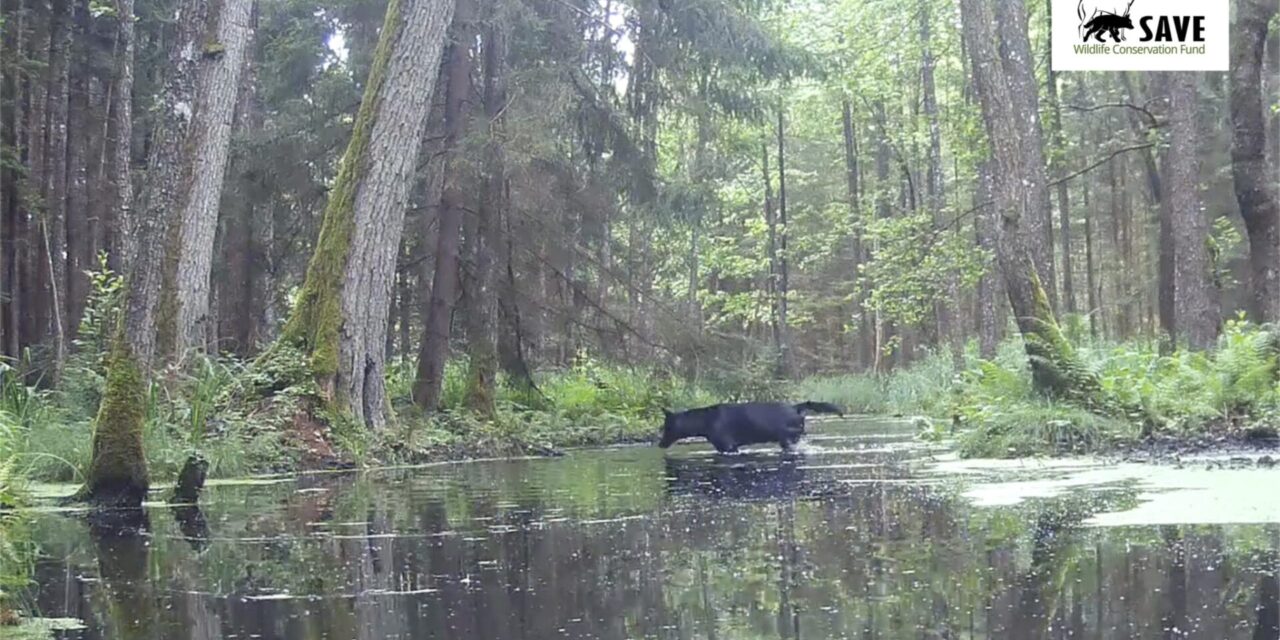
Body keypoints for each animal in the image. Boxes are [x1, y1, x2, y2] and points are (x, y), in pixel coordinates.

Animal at [655, 399, 844, 455]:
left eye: (666, 427)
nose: (660, 444)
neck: (704, 422)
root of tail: (796, 407)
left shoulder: (729, 447)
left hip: (787, 439)